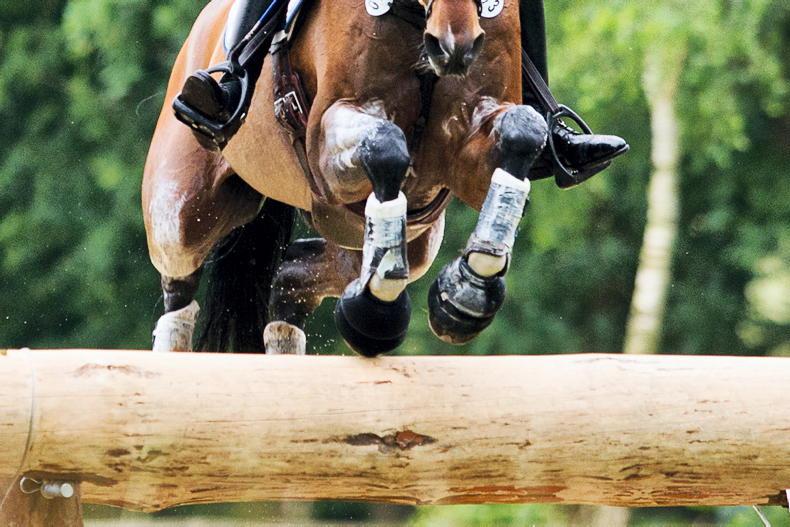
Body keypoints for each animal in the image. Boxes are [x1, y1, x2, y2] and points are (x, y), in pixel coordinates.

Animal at [143, 0, 548, 356]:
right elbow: (386, 145)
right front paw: (379, 304)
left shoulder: (471, 140)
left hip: (399, 240)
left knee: (291, 277)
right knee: (179, 282)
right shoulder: (326, 141)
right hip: (182, 210)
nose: (454, 46)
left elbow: (524, 132)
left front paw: (467, 294)